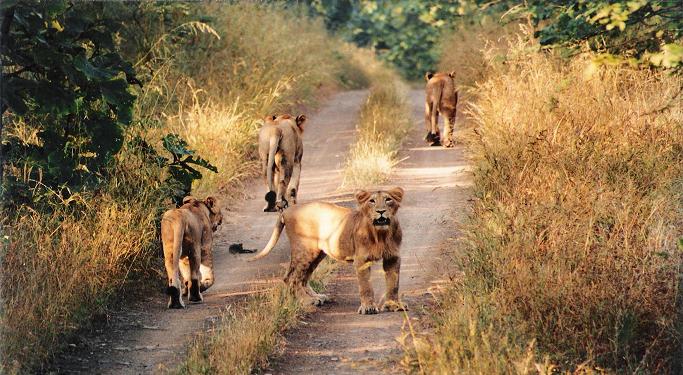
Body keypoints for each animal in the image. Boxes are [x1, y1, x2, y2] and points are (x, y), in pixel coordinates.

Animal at [248, 188, 406, 314]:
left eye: (388, 200)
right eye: (372, 201)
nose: (381, 211)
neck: (381, 234)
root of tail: (286, 210)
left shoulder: (393, 257)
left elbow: (394, 283)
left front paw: (394, 305)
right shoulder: (361, 259)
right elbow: (365, 285)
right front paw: (368, 308)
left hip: (317, 253)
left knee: (302, 277)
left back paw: (316, 297)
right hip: (305, 250)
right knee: (291, 278)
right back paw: (306, 301)